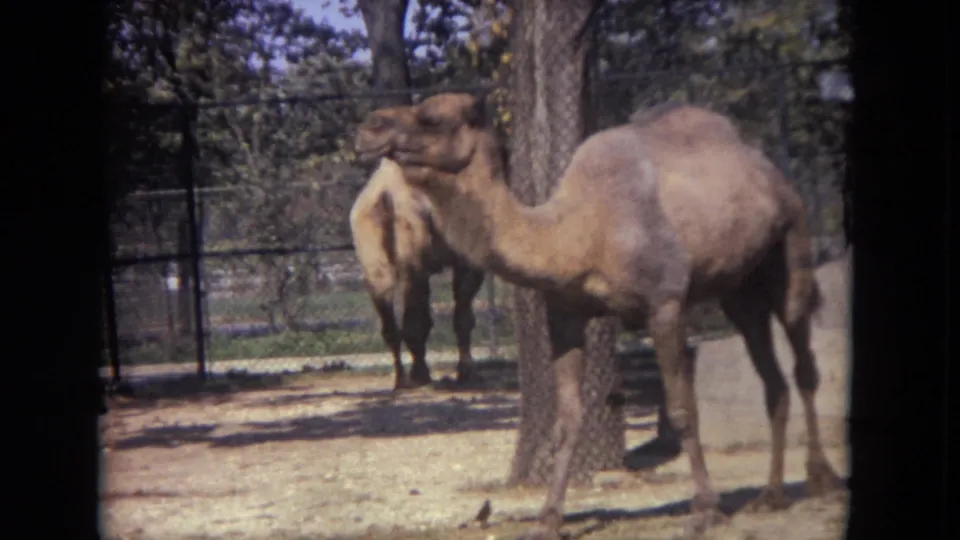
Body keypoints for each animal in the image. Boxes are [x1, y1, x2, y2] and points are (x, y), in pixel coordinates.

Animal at [349, 105, 486, 390]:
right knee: (415, 314)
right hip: (412, 242)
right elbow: (463, 315)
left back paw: (402, 378)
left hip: (372, 252)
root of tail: (383, 193)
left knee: (388, 308)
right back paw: (420, 375)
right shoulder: (468, 261)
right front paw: (467, 371)